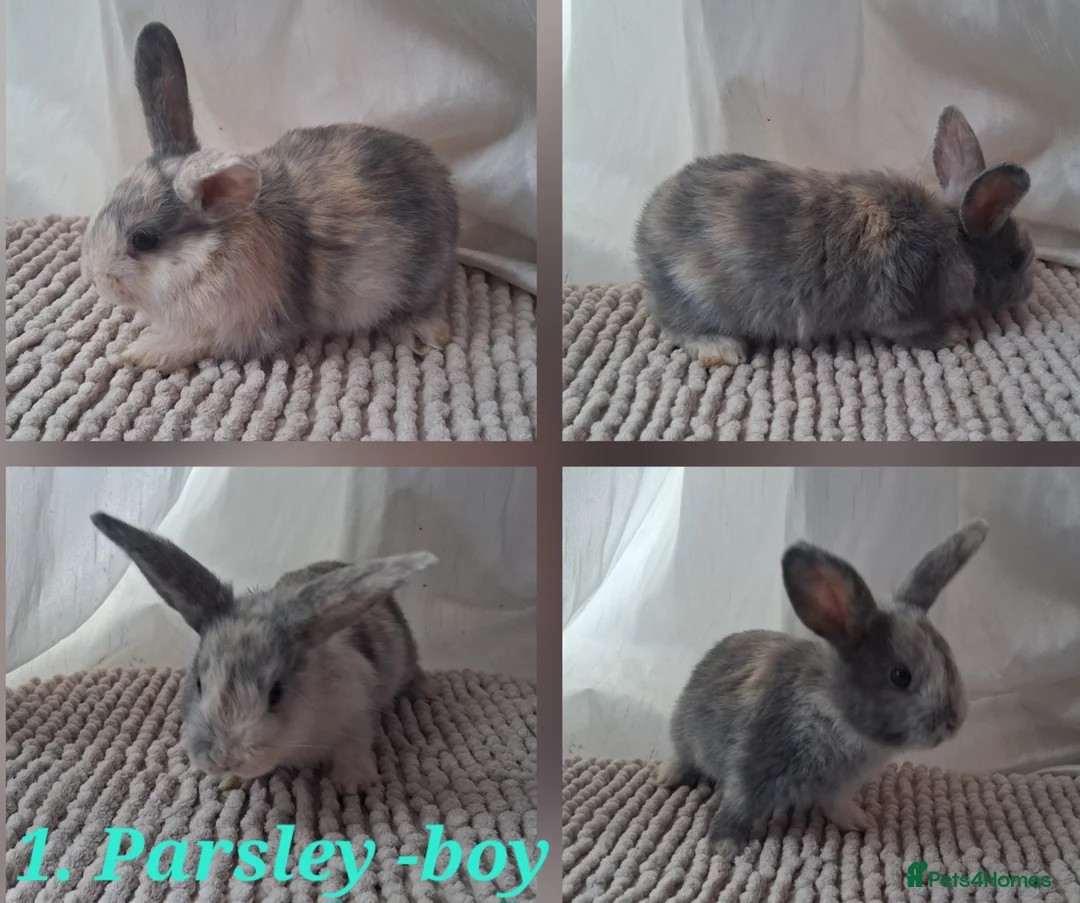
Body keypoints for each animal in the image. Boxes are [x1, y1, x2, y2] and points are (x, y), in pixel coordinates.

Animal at [80, 22, 460, 372]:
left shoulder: (231, 328)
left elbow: (192, 344)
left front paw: (140, 351)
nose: (98, 280)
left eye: (144, 239)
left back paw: (428, 334)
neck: (209, 253)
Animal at [90, 511, 437, 793]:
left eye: (276, 693)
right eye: (199, 683)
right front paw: (231, 781)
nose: (223, 759)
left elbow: (354, 746)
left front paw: (355, 785)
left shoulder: (356, 715)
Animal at [633, 105, 1034, 367]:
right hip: (696, 297)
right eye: (1015, 259)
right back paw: (722, 350)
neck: (951, 243)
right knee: (677, 327)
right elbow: (912, 333)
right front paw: (954, 335)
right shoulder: (900, 306)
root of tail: (643, 230)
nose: (1029, 292)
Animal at [654, 519, 988, 855]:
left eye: (949, 656)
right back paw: (667, 775)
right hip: (685, 732)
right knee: (685, 756)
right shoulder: (751, 766)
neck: (832, 713)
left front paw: (860, 822)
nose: (954, 722)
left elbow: (836, 805)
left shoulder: (836, 788)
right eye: (900, 676)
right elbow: (739, 806)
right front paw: (724, 845)